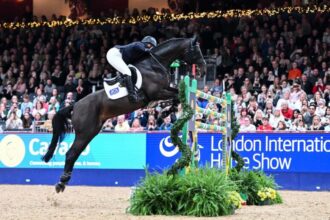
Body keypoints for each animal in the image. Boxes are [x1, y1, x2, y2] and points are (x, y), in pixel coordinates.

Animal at [42, 36, 205, 192]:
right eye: (197, 51)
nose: (202, 71)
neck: (155, 64)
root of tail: (75, 105)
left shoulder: (163, 90)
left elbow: (177, 96)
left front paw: (165, 112)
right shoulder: (157, 92)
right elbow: (176, 95)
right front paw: (165, 112)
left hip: (91, 132)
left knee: (74, 154)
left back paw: (64, 181)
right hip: (84, 132)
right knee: (70, 154)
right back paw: (61, 183)